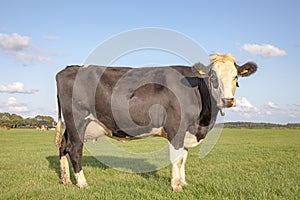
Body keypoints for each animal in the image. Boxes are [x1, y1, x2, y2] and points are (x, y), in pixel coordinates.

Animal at [54, 53, 255, 192]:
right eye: (213, 77)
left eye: (236, 77)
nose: (228, 100)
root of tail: (68, 68)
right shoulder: (176, 128)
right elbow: (176, 158)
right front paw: (175, 186)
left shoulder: (187, 132)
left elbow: (183, 158)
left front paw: (183, 182)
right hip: (77, 120)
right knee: (75, 149)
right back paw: (82, 183)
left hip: (71, 126)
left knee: (64, 145)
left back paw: (65, 180)